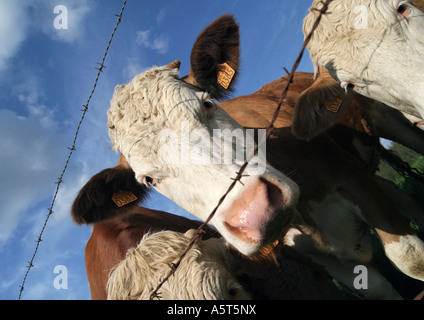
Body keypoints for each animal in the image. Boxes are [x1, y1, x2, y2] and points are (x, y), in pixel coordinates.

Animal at [103, 15, 424, 300]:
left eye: (207, 104)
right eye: (149, 179)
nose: (256, 211)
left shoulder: (351, 178)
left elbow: (411, 258)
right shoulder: (312, 256)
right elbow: (375, 288)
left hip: (390, 116)